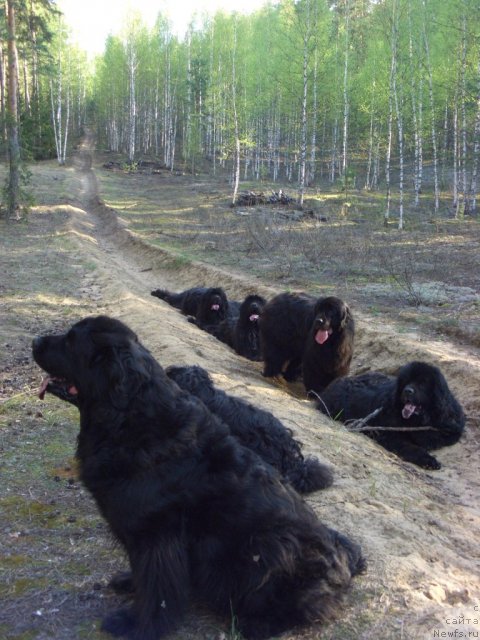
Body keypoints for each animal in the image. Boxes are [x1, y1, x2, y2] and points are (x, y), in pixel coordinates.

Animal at [316, 360, 466, 470]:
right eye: (406, 381)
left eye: (423, 383)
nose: (407, 391)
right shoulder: (390, 434)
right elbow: (410, 446)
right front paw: (428, 459)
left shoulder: (452, 427)